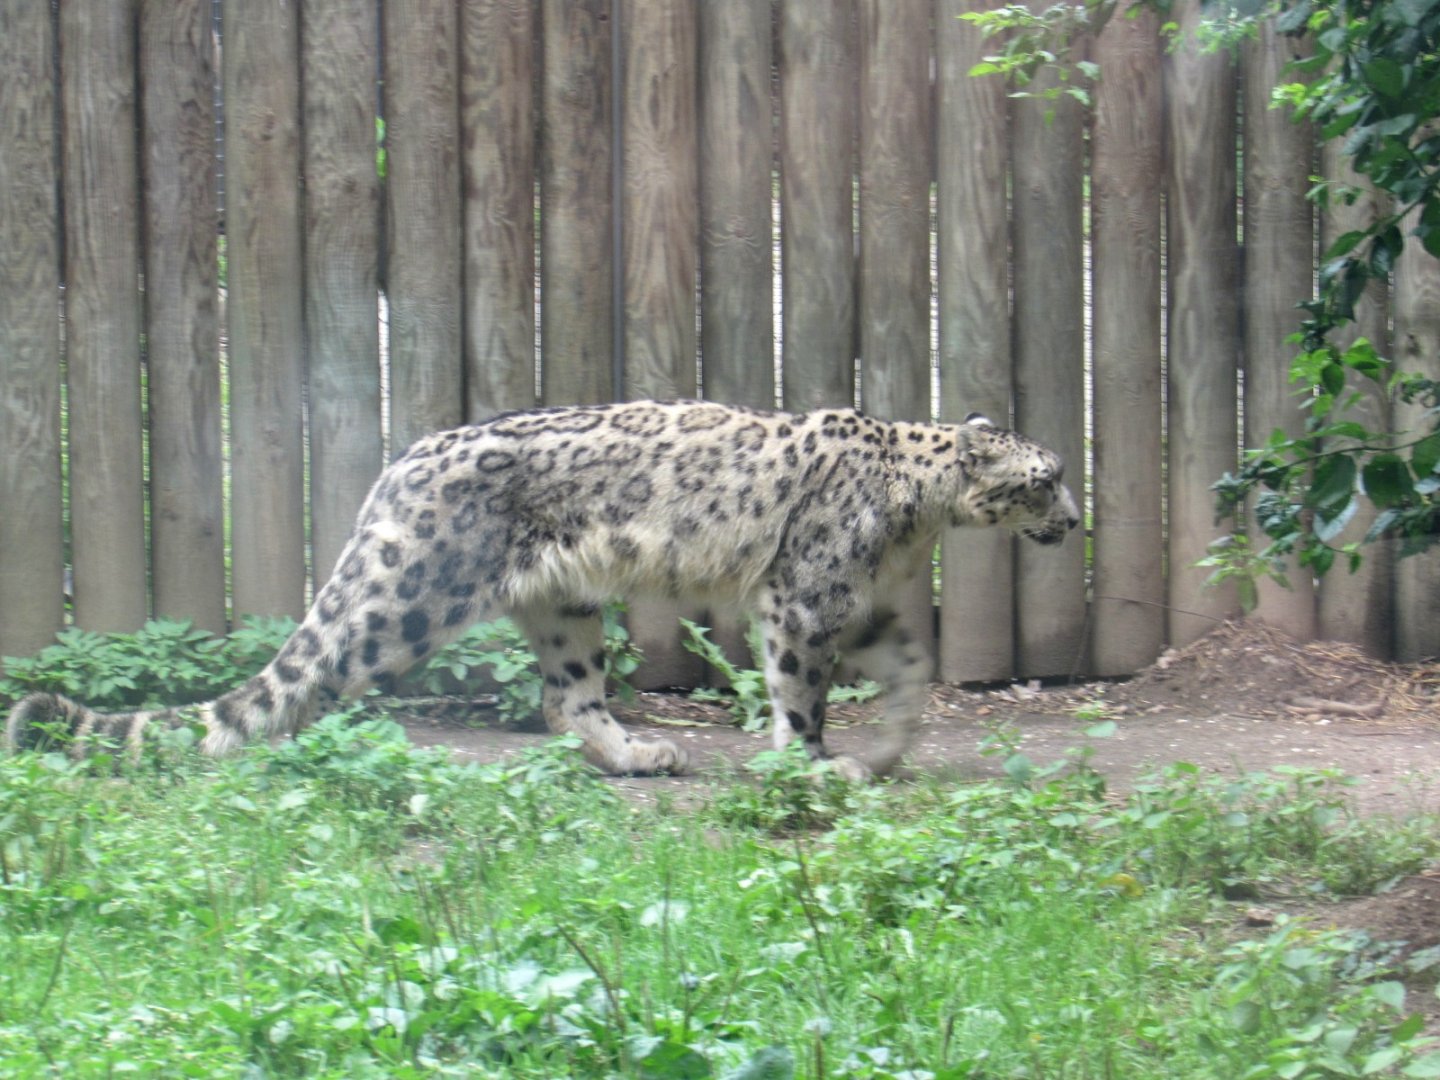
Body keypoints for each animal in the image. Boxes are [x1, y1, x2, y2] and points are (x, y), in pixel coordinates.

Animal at [7, 400, 1079, 780]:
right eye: (1046, 477)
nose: (1076, 520)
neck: (918, 518)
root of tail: (400, 463)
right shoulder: (805, 599)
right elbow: (797, 690)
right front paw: (812, 764)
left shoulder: (872, 606)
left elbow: (913, 672)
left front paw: (884, 752)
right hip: (406, 602)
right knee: (313, 671)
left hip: (564, 607)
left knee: (569, 699)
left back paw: (638, 753)